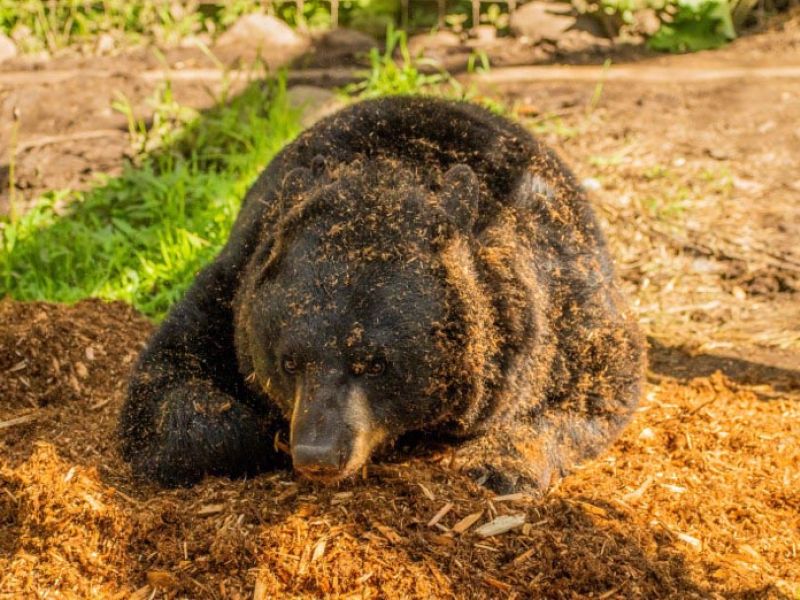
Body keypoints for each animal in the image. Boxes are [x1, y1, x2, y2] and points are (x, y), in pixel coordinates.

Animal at [119, 95, 645, 493]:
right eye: (289, 361)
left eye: (374, 363)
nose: (318, 453)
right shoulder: (232, 282)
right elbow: (166, 388)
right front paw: (254, 431)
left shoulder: (555, 295)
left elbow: (602, 379)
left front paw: (498, 463)